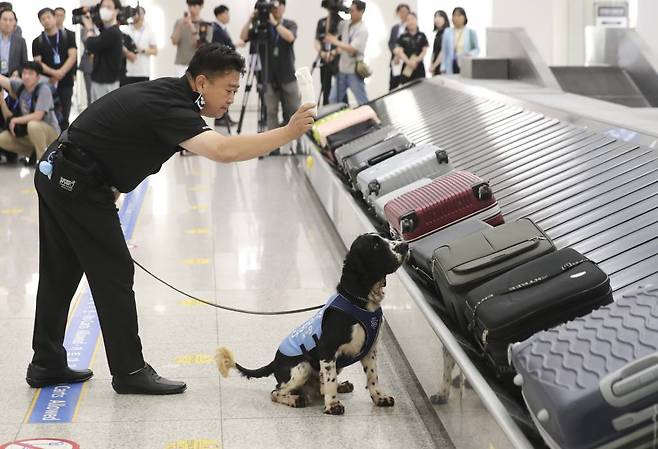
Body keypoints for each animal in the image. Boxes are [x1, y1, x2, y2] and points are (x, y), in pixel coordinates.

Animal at [218, 233, 408, 414]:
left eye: (385, 237)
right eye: (376, 245)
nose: (405, 245)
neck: (359, 301)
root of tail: (274, 362)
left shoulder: (370, 350)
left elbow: (373, 377)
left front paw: (380, 398)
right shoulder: (327, 349)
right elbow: (329, 381)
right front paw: (333, 405)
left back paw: (342, 385)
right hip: (302, 367)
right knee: (277, 392)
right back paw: (295, 399)